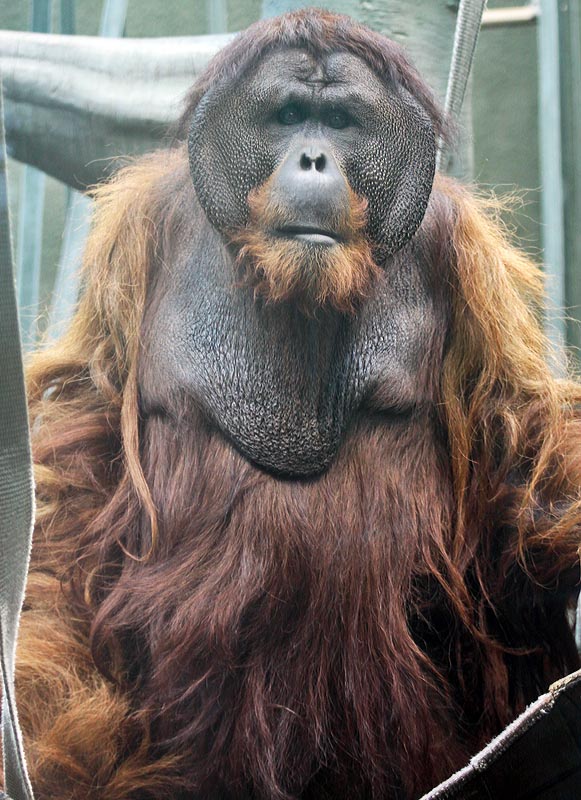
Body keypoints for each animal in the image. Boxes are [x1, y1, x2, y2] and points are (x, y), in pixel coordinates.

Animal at [12, 9, 581, 800]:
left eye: (339, 122)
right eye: (286, 116)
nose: (312, 159)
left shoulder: (462, 255)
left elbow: (515, 436)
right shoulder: (137, 232)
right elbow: (86, 441)